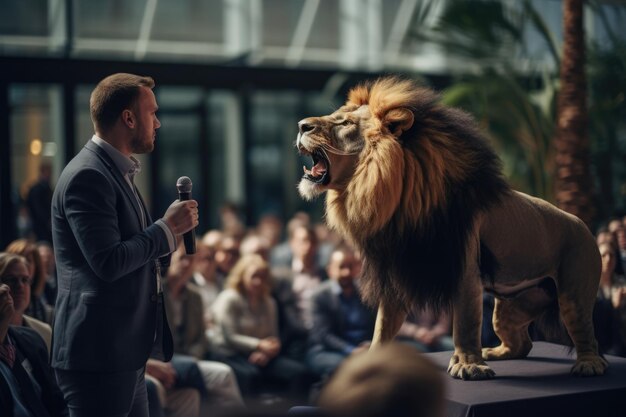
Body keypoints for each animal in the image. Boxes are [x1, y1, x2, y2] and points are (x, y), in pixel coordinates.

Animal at [294, 76, 608, 378]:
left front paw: (469, 366)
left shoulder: (464, 270)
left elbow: (465, 323)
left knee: (587, 336)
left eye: (345, 123)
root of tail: (583, 225)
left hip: (574, 292)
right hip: (511, 306)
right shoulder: (399, 269)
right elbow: (383, 326)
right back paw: (494, 352)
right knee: (522, 343)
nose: (301, 125)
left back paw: (589, 364)